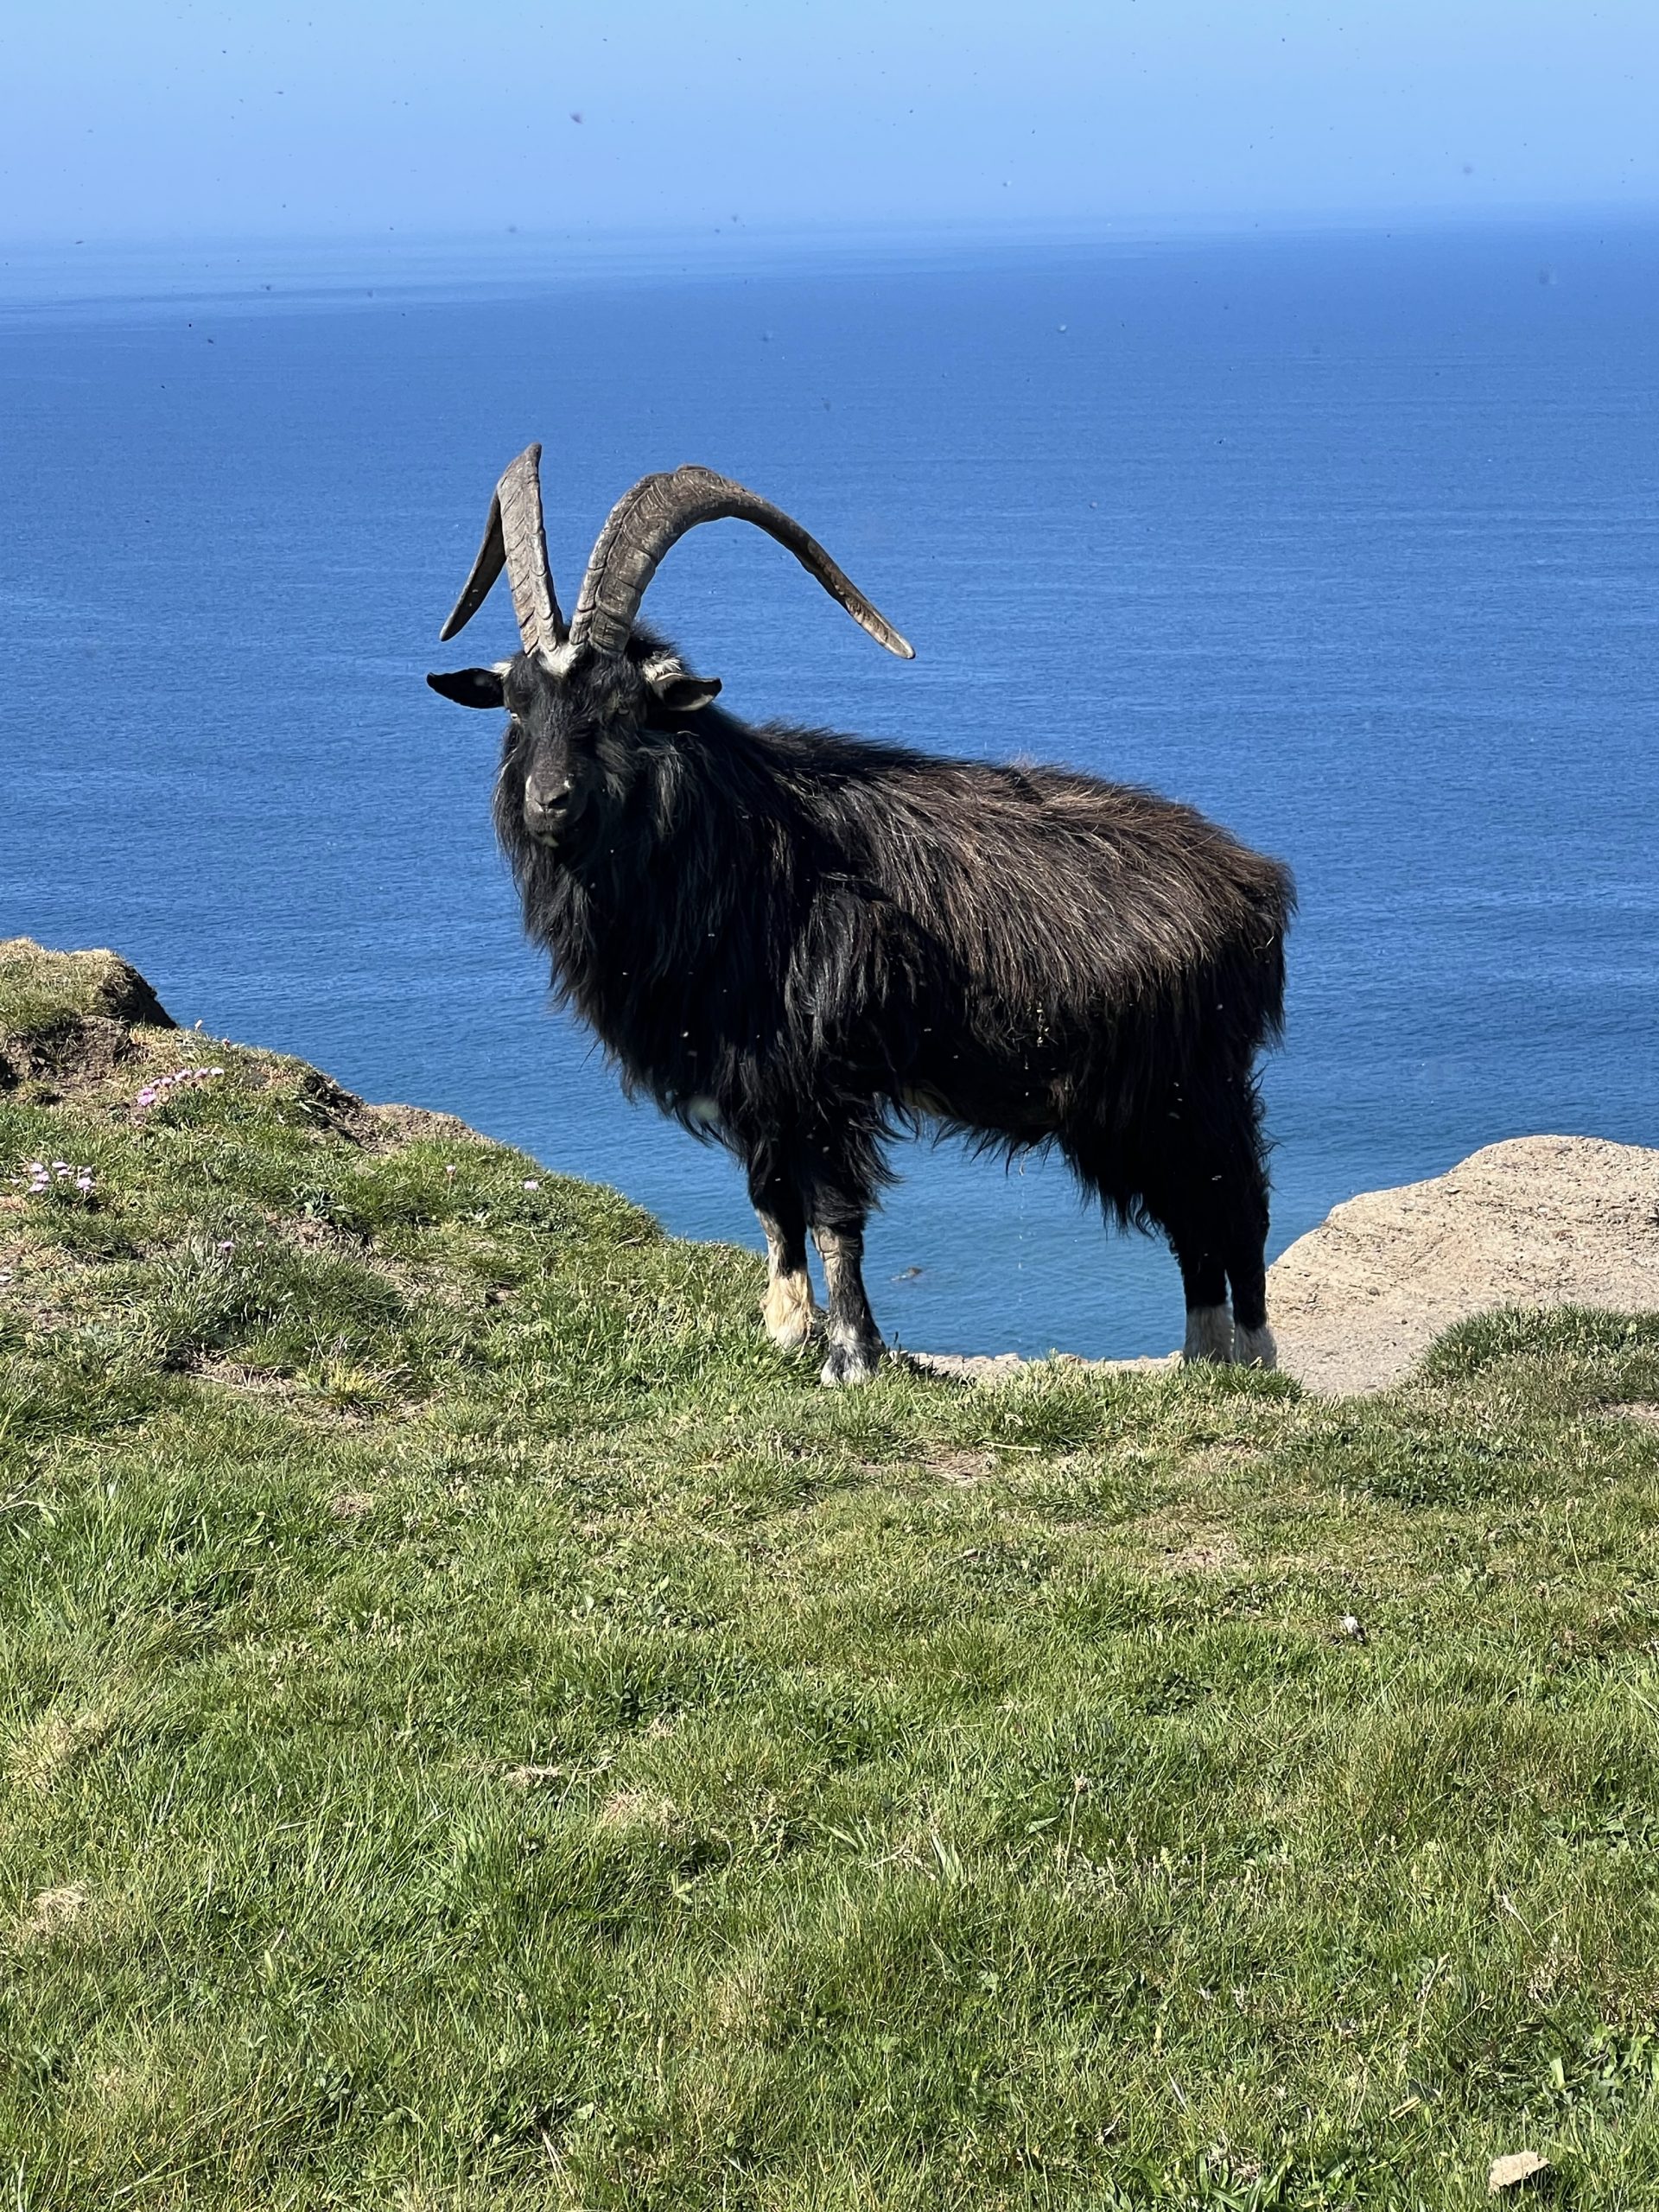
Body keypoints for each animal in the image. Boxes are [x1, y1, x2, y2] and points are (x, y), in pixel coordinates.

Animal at [428, 445, 1294, 1382]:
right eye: (517, 701)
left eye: (623, 707)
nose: (547, 802)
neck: (749, 851)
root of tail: (1253, 881)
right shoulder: (754, 1083)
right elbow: (772, 1205)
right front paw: (784, 1333)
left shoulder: (822, 1073)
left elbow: (834, 1211)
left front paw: (851, 1355)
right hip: (1136, 1109)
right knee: (1195, 1224)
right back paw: (1204, 1362)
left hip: (1188, 1085)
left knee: (1235, 1207)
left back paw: (1252, 1357)